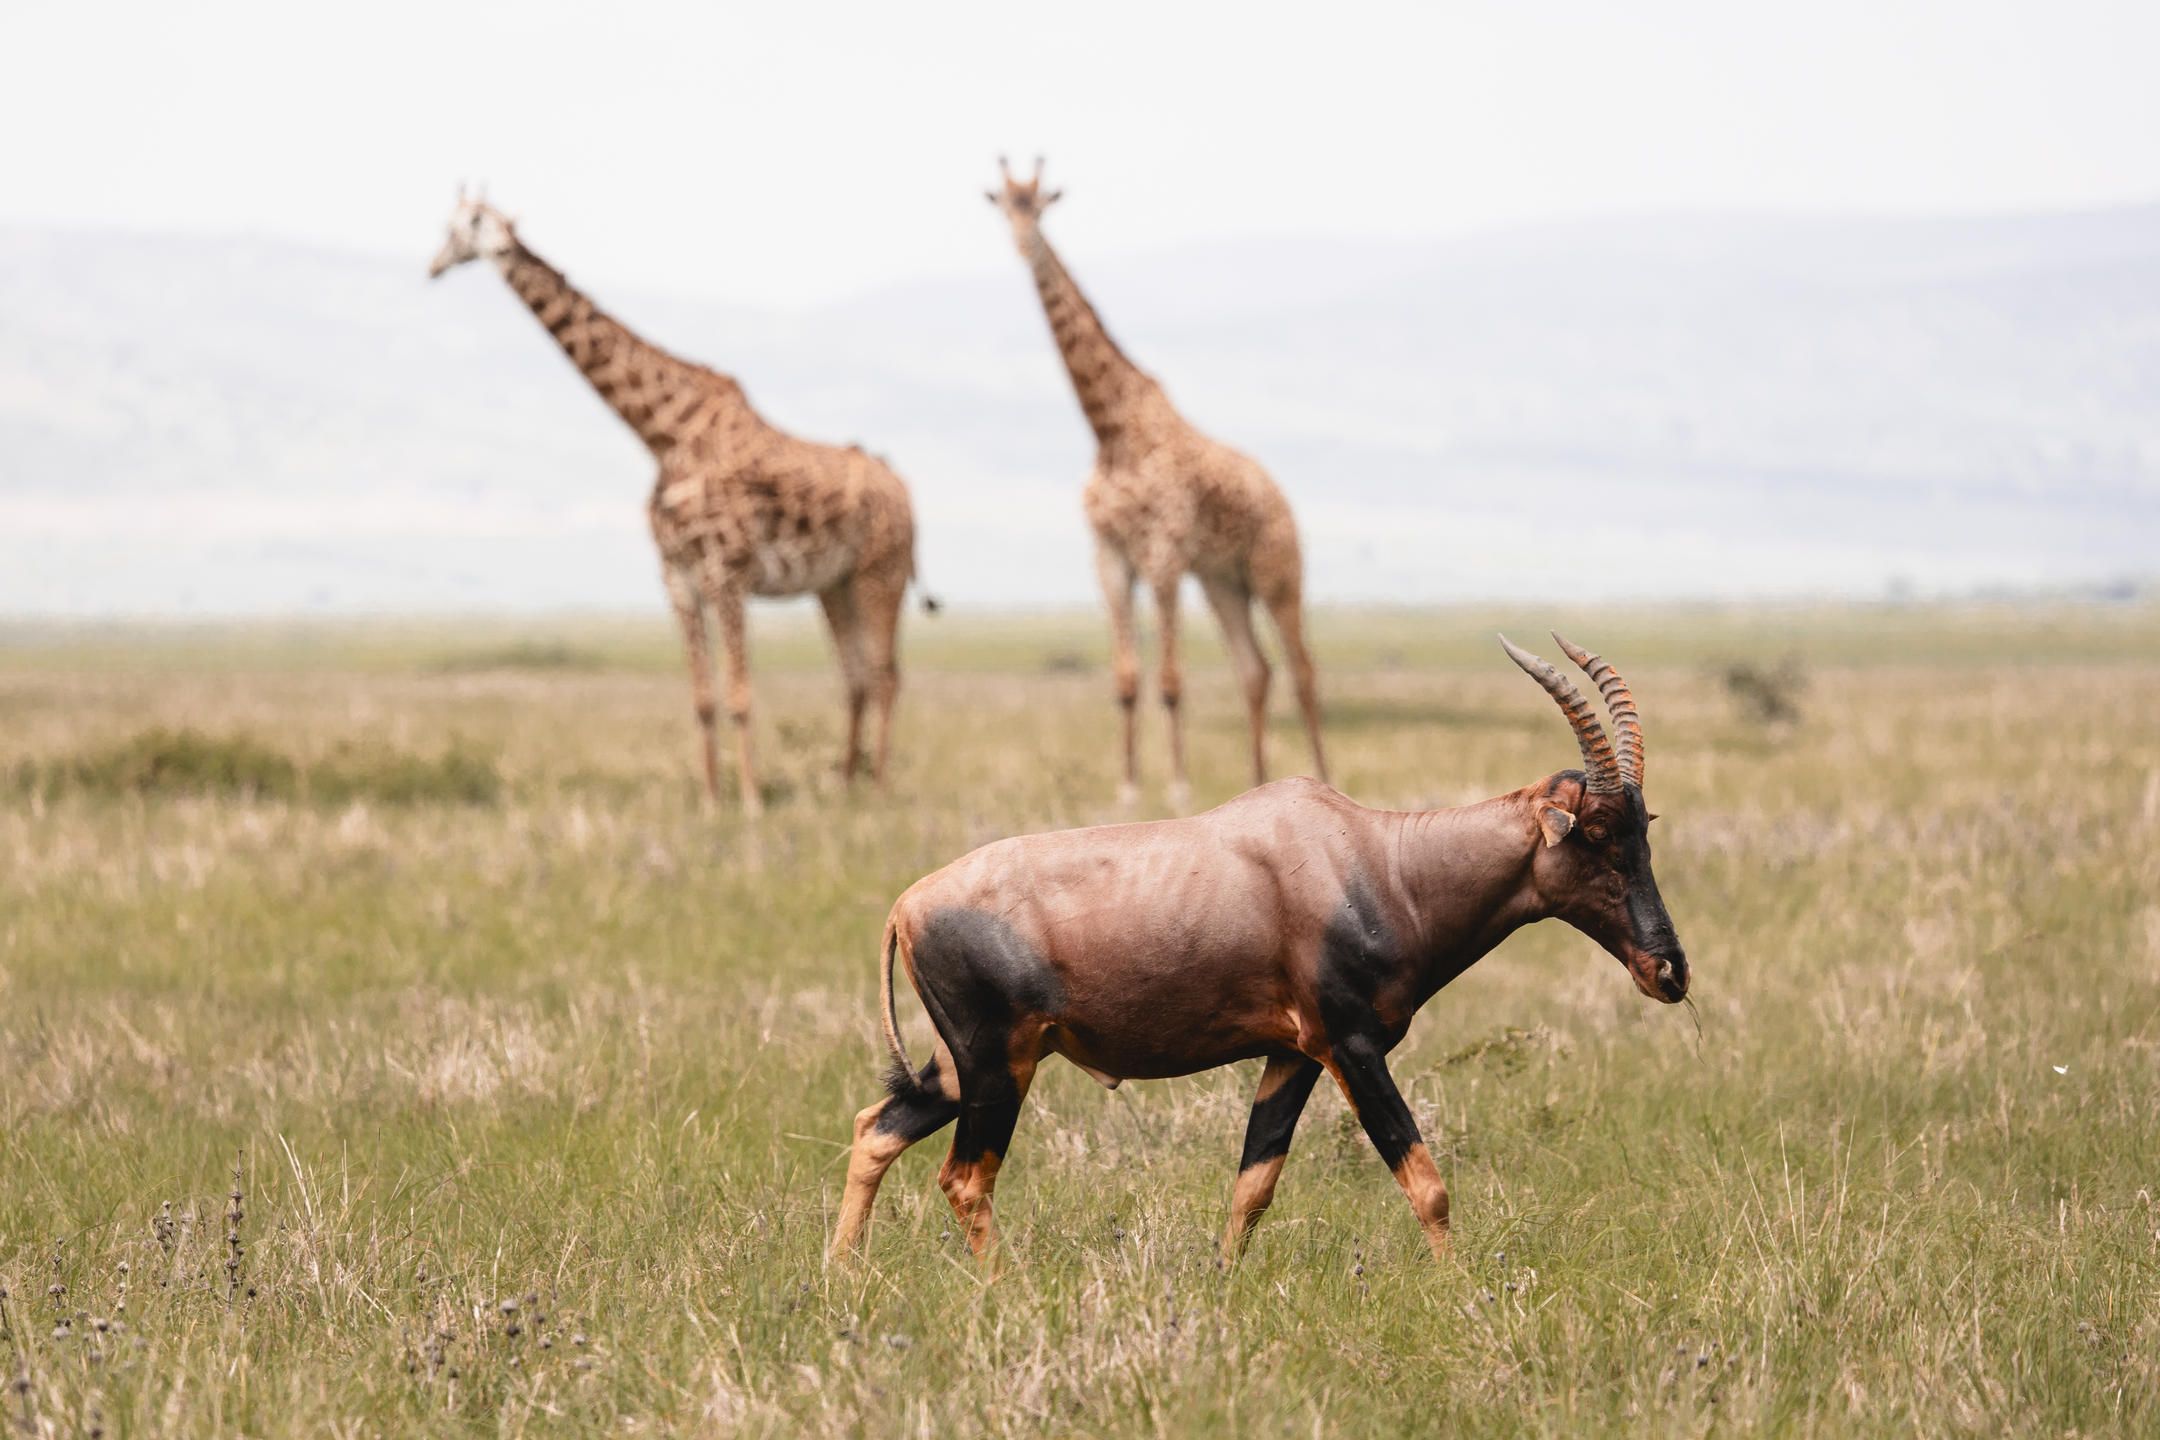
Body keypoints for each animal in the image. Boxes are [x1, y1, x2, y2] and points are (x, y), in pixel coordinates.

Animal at [429, 192, 925, 816]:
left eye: (461, 230)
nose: (434, 266)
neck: (664, 433)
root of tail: (902, 488)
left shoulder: (726, 574)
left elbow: (739, 695)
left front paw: (752, 803)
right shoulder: (678, 578)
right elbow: (703, 700)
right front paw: (712, 803)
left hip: (880, 572)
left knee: (885, 675)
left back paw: (878, 788)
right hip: (834, 584)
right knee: (854, 676)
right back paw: (846, 784)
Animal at [988, 159, 1326, 805]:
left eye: (1039, 207)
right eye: (1002, 207)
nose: (1021, 245)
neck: (1111, 430)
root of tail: (1280, 495)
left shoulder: (1164, 554)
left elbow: (1170, 681)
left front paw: (1178, 790)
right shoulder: (1110, 557)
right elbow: (1125, 680)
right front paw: (1127, 789)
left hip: (1275, 569)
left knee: (1302, 671)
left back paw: (1322, 778)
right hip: (1224, 580)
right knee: (1256, 669)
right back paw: (1257, 783)